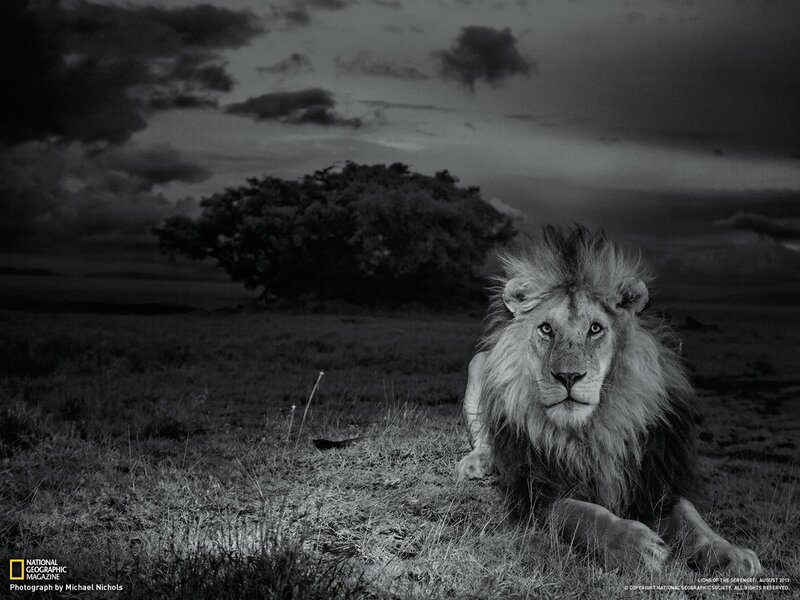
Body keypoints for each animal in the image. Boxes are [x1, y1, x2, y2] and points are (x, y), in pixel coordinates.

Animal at [456, 226, 761, 575]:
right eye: (546, 328)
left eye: (595, 329)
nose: (568, 376)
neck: (592, 429)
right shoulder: (536, 488)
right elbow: (581, 513)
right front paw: (634, 544)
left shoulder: (652, 476)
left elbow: (692, 518)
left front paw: (731, 553)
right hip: (479, 363)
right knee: (484, 438)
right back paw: (477, 462)